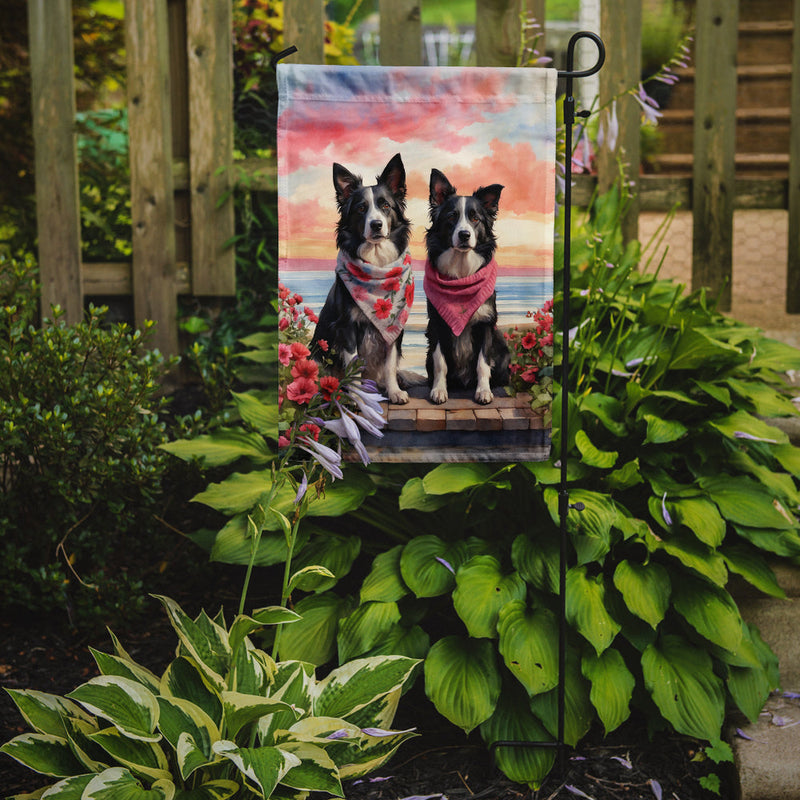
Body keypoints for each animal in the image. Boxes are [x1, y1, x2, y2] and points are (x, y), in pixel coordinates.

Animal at [310, 153, 416, 404]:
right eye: (361, 208)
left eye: (385, 206)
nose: (376, 224)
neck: (376, 266)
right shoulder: (346, 326)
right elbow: (354, 365)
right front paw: (358, 398)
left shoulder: (393, 328)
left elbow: (390, 364)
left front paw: (394, 391)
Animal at [422, 170, 510, 406]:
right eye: (451, 216)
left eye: (475, 218)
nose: (464, 235)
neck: (461, 276)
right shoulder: (437, 324)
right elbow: (440, 362)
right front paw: (439, 390)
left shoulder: (486, 325)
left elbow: (483, 363)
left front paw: (483, 391)